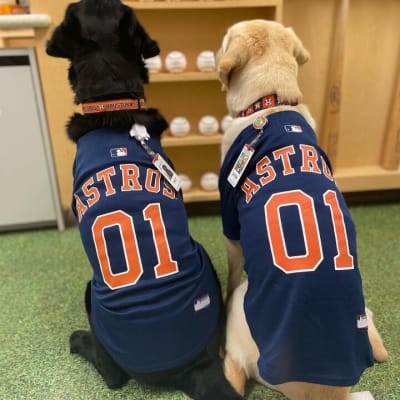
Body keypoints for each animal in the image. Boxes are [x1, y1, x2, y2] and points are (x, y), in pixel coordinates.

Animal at [216, 19, 388, 400]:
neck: (269, 101)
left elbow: (229, 276)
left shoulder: (231, 231)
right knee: (373, 329)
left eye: (223, 41)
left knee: (233, 358)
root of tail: (327, 392)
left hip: (242, 302)